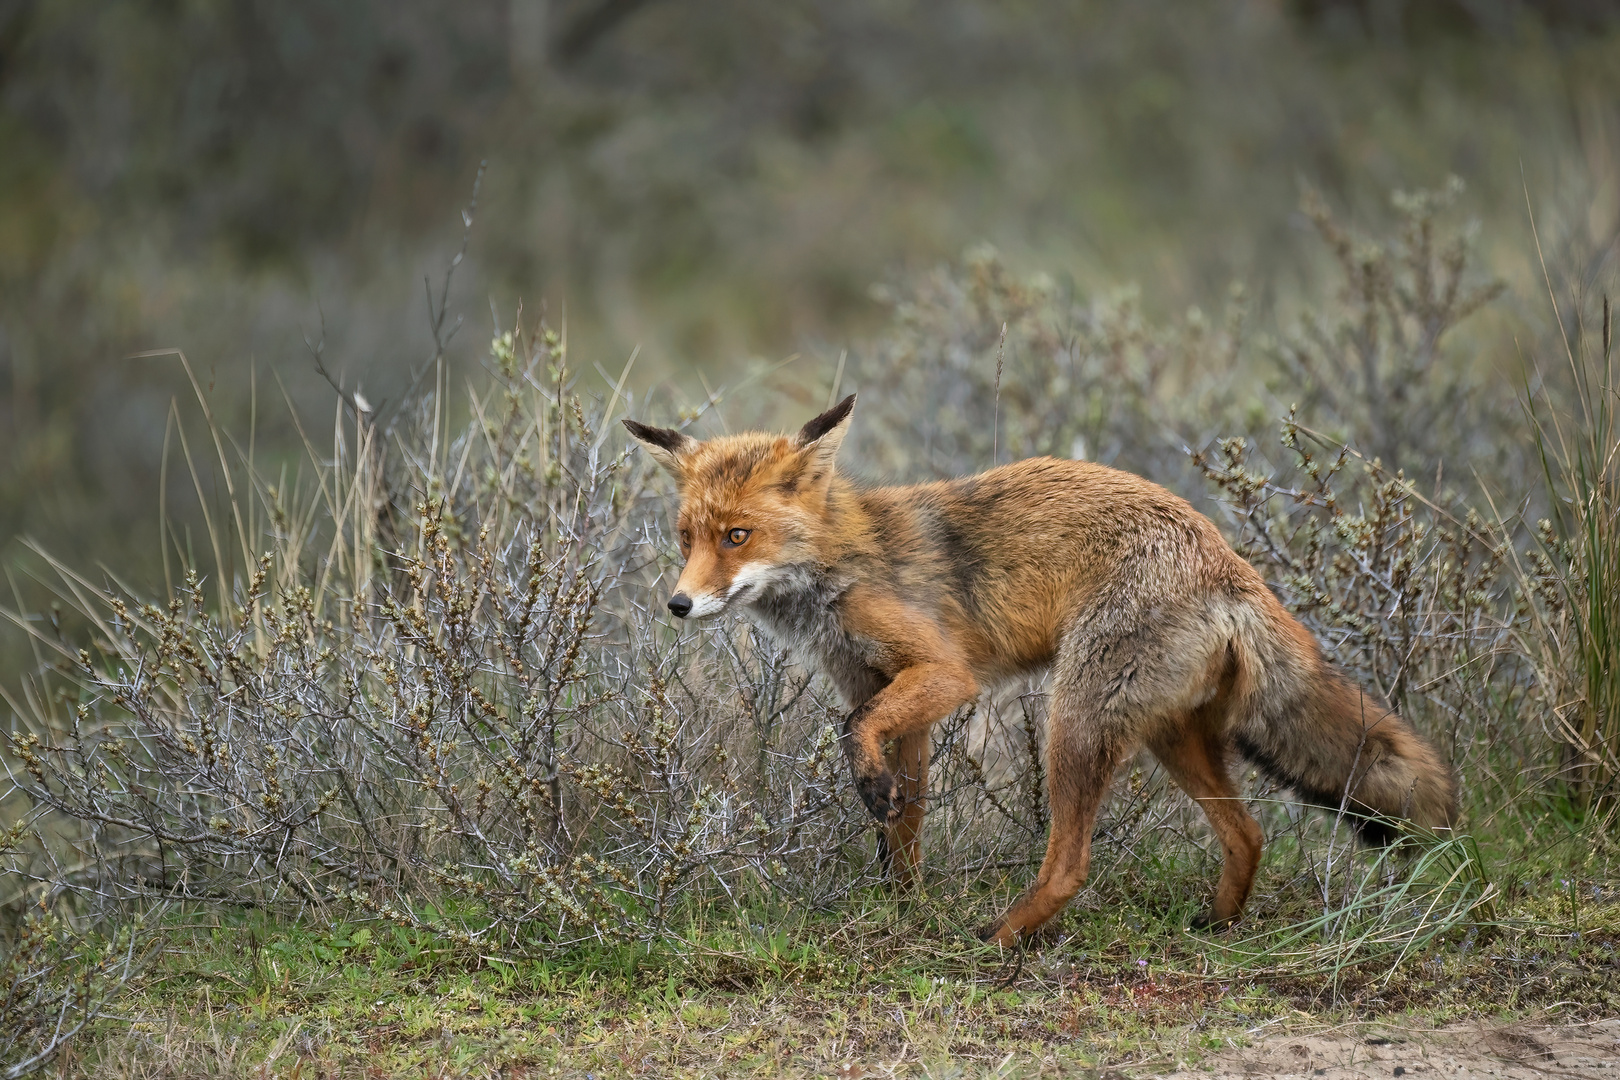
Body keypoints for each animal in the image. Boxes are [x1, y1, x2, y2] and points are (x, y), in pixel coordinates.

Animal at [622, 396, 1458, 945]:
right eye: (687, 536)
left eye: (737, 535)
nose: (678, 603)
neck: (840, 564)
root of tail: (1229, 563)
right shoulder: (890, 691)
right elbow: (906, 826)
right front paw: (901, 905)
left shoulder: (942, 673)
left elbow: (854, 733)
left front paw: (873, 805)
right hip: (1169, 736)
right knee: (1247, 831)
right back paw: (1218, 924)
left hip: (1073, 724)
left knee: (1071, 865)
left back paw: (1001, 935)